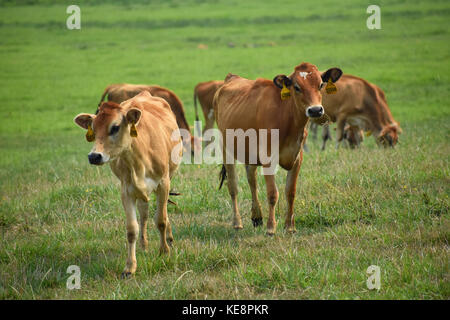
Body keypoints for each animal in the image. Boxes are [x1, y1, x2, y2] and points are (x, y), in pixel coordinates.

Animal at [214, 62, 342, 234]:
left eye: (321, 84)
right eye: (296, 87)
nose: (315, 110)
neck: (288, 120)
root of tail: (231, 78)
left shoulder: (297, 158)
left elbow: (290, 192)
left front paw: (290, 227)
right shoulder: (268, 158)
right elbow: (273, 193)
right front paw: (271, 227)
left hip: (251, 153)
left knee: (252, 179)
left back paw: (257, 216)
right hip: (226, 149)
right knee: (233, 186)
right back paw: (237, 222)